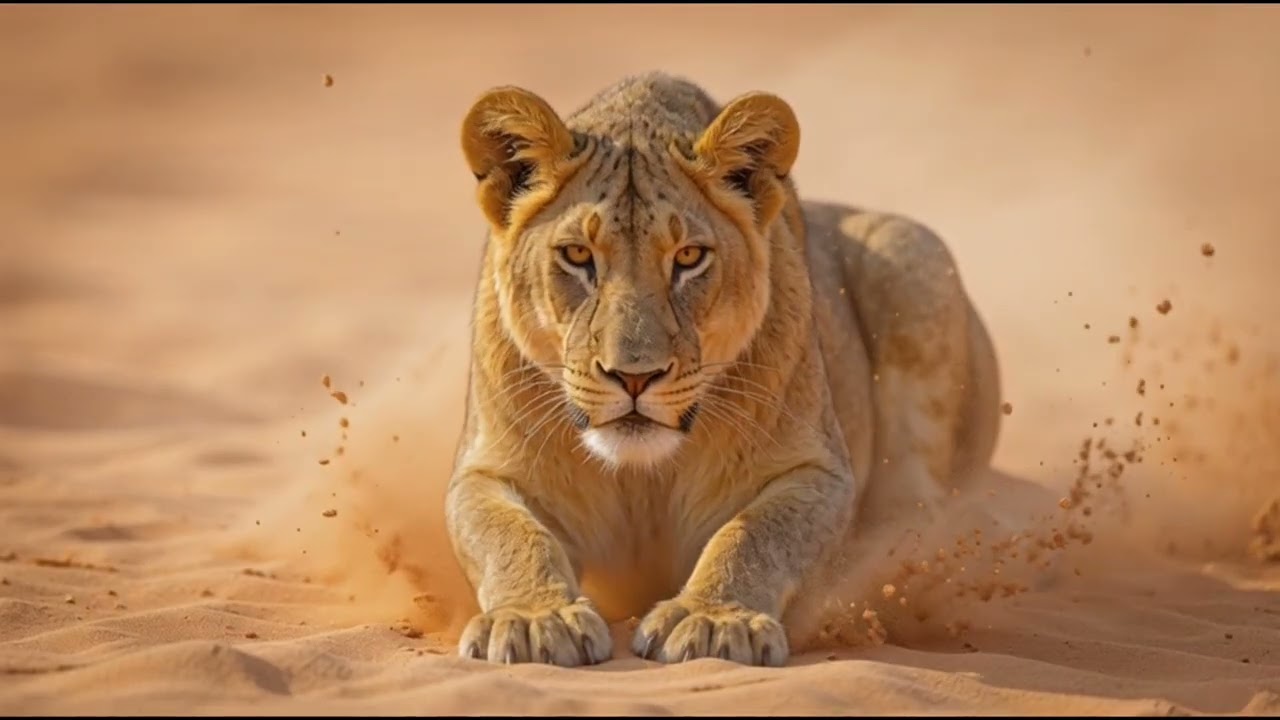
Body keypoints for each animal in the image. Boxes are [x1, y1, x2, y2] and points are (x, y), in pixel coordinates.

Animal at [444, 72, 1001, 668]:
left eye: (689, 258)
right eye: (576, 255)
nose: (634, 377)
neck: (644, 478)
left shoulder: (818, 470)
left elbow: (754, 535)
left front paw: (711, 620)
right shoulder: (488, 470)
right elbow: (510, 536)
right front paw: (534, 620)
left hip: (910, 252)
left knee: (919, 513)